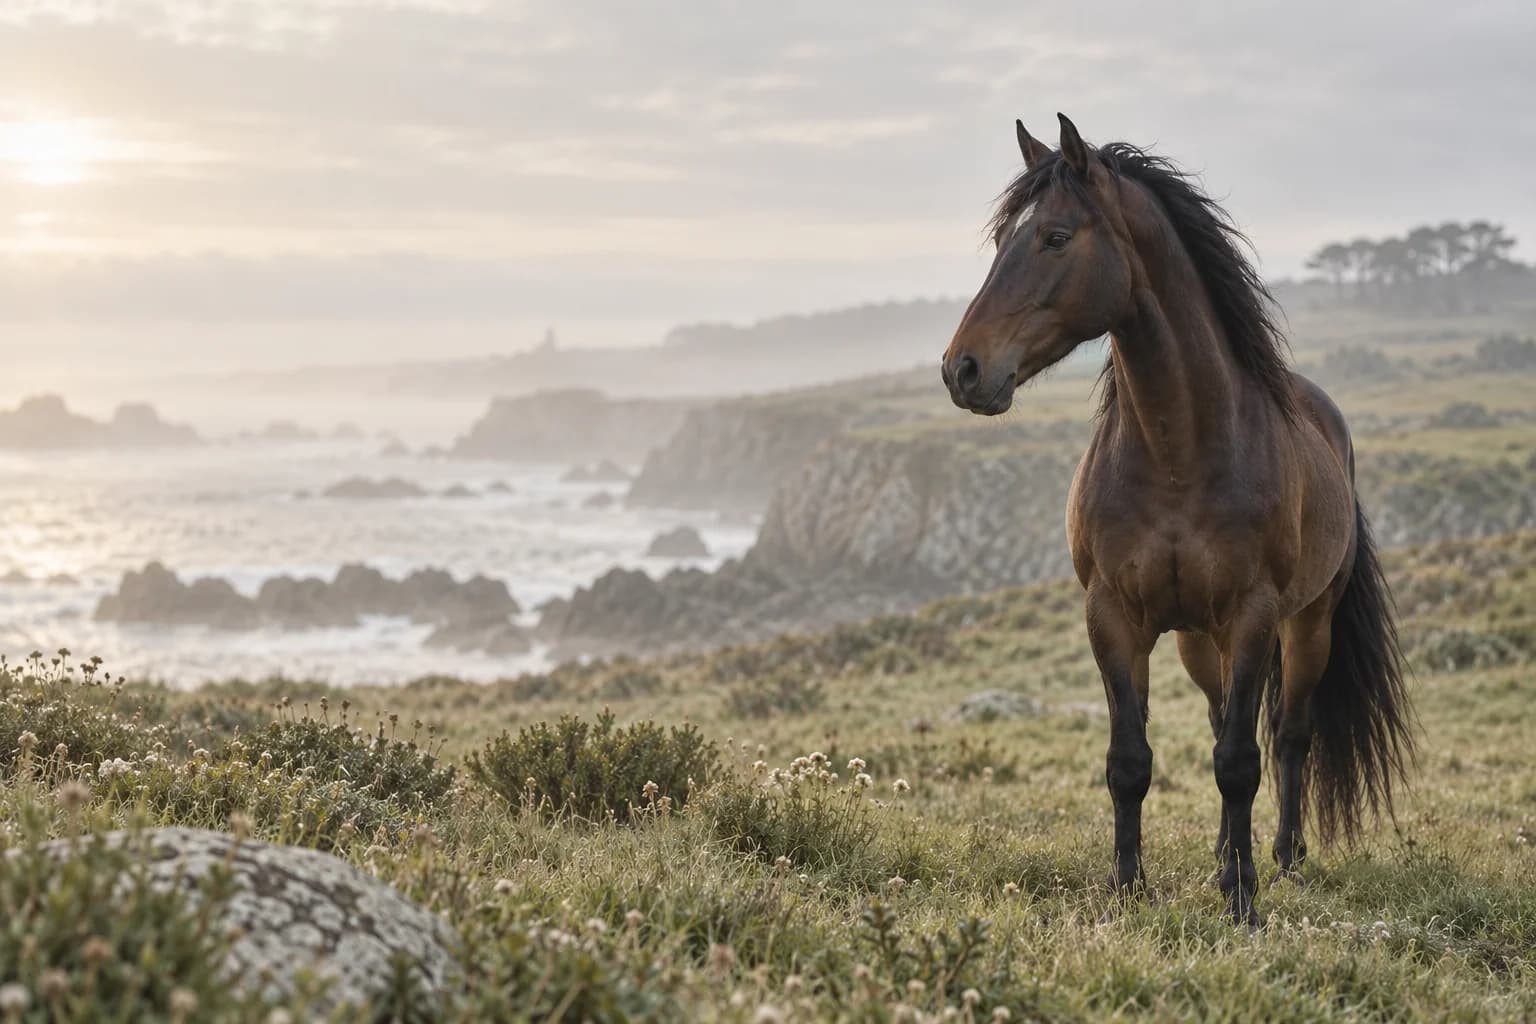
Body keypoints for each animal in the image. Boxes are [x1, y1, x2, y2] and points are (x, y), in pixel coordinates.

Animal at [940, 114, 1414, 926]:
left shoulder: (1253, 615)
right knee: (1225, 717)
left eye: (1056, 237)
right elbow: (1131, 762)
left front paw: (1245, 903)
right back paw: (1225, 856)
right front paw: (1129, 889)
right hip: (1198, 640)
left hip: (1306, 624)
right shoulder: (1113, 616)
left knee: (1287, 736)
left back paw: (1282, 856)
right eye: (1004, 238)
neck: (1176, 454)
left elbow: (1242, 762)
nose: (962, 370)